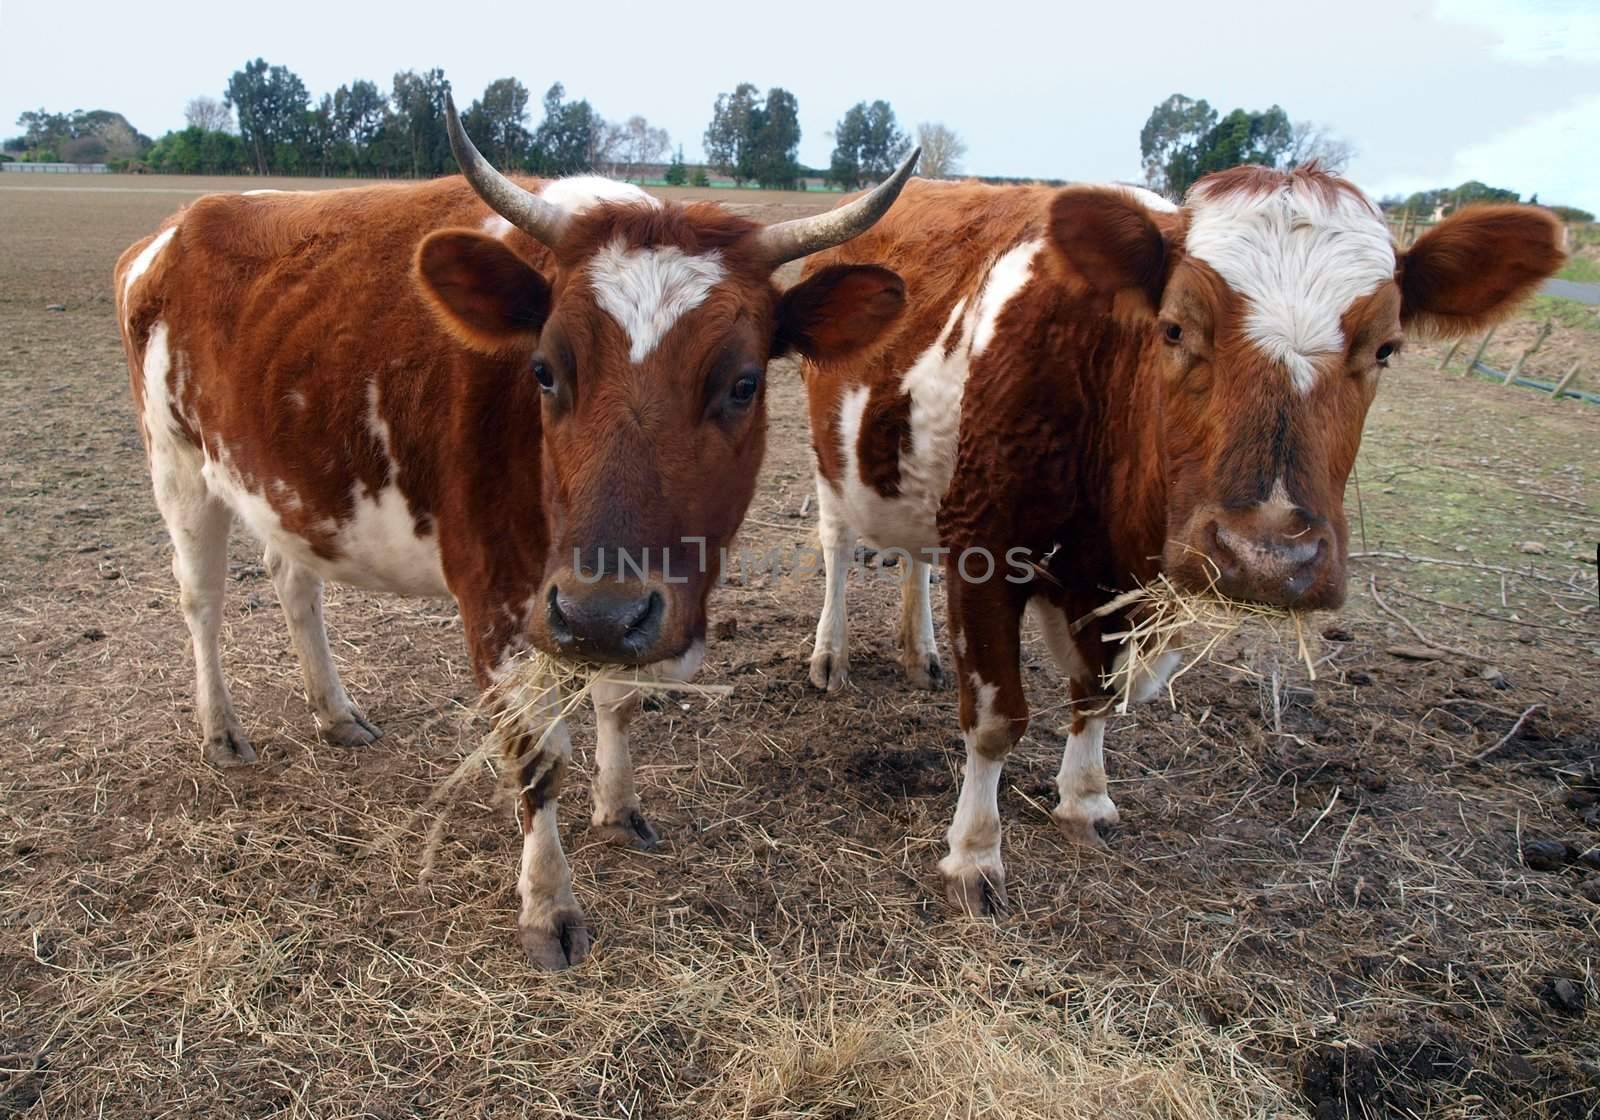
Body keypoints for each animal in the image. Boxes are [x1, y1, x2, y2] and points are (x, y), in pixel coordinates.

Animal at [112, 96, 915, 966]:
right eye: (544, 371)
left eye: (741, 384)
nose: (598, 613)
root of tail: (180, 223)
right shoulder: (499, 601)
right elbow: (535, 756)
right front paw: (547, 904)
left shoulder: (610, 604)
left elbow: (618, 701)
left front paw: (619, 808)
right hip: (178, 465)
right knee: (201, 602)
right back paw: (222, 731)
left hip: (289, 489)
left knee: (296, 586)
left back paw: (334, 711)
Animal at [800, 168, 1561, 921]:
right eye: (1174, 328)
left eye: (1385, 348)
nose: (1267, 557)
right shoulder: (985, 551)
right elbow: (995, 720)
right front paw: (974, 855)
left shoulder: (1122, 585)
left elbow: (1097, 694)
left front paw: (1085, 799)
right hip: (833, 463)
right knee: (838, 547)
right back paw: (831, 655)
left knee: (915, 561)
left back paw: (919, 650)